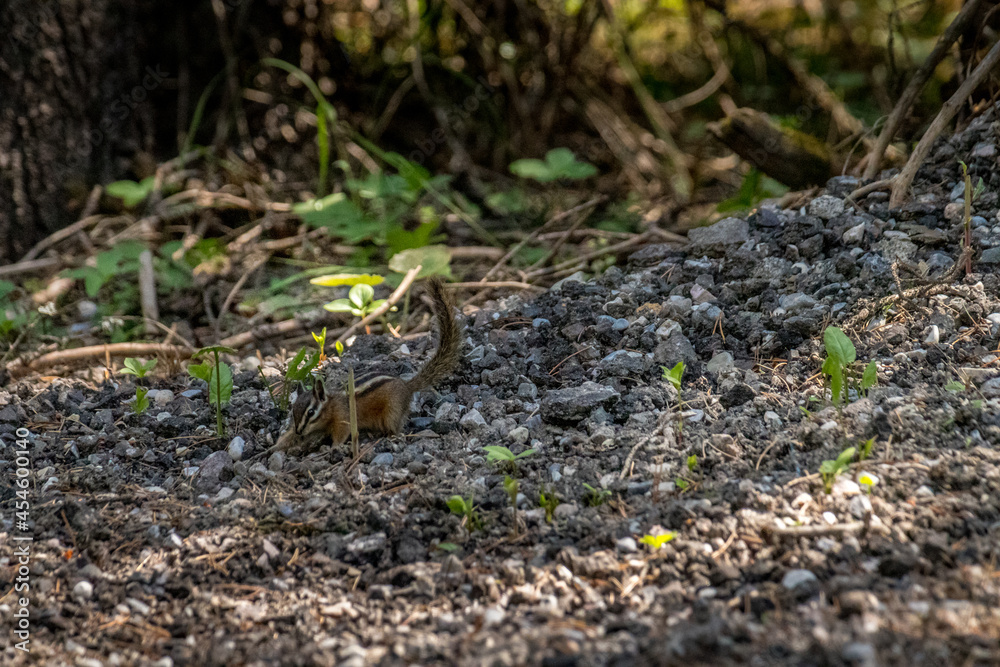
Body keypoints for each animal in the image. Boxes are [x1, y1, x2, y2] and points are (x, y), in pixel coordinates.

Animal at [275, 277, 461, 453]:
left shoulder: (343, 420)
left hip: (392, 411)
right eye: (293, 411)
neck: (331, 406)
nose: (299, 430)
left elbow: (342, 434)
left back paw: (389, 437)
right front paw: (279, 445)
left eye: (311, 412)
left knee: (395, 426)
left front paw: (334, 448)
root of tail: (406, 386)